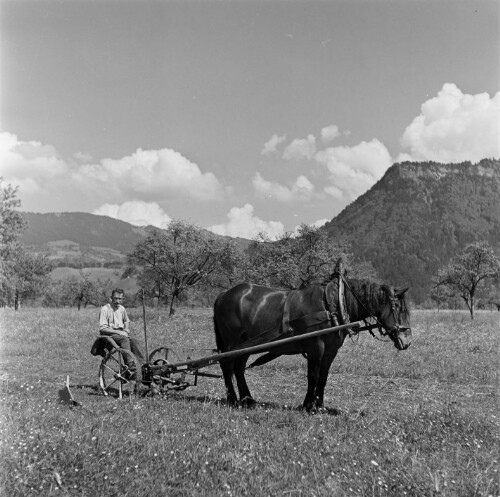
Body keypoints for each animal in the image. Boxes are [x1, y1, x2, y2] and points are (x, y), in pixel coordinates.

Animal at [213, 276, 412, 410]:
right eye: (398, 308)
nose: (407, 341)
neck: (332, 306)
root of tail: (223, 294)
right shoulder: (316, 347)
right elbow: (313, 376)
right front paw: (308, 404)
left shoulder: (331, 351)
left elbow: (323, 377)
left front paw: (319, 404)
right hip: (232, 342)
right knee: (227, 366)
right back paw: (232, 399)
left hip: (246, 344)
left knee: (239, 368)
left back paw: (247, 399)